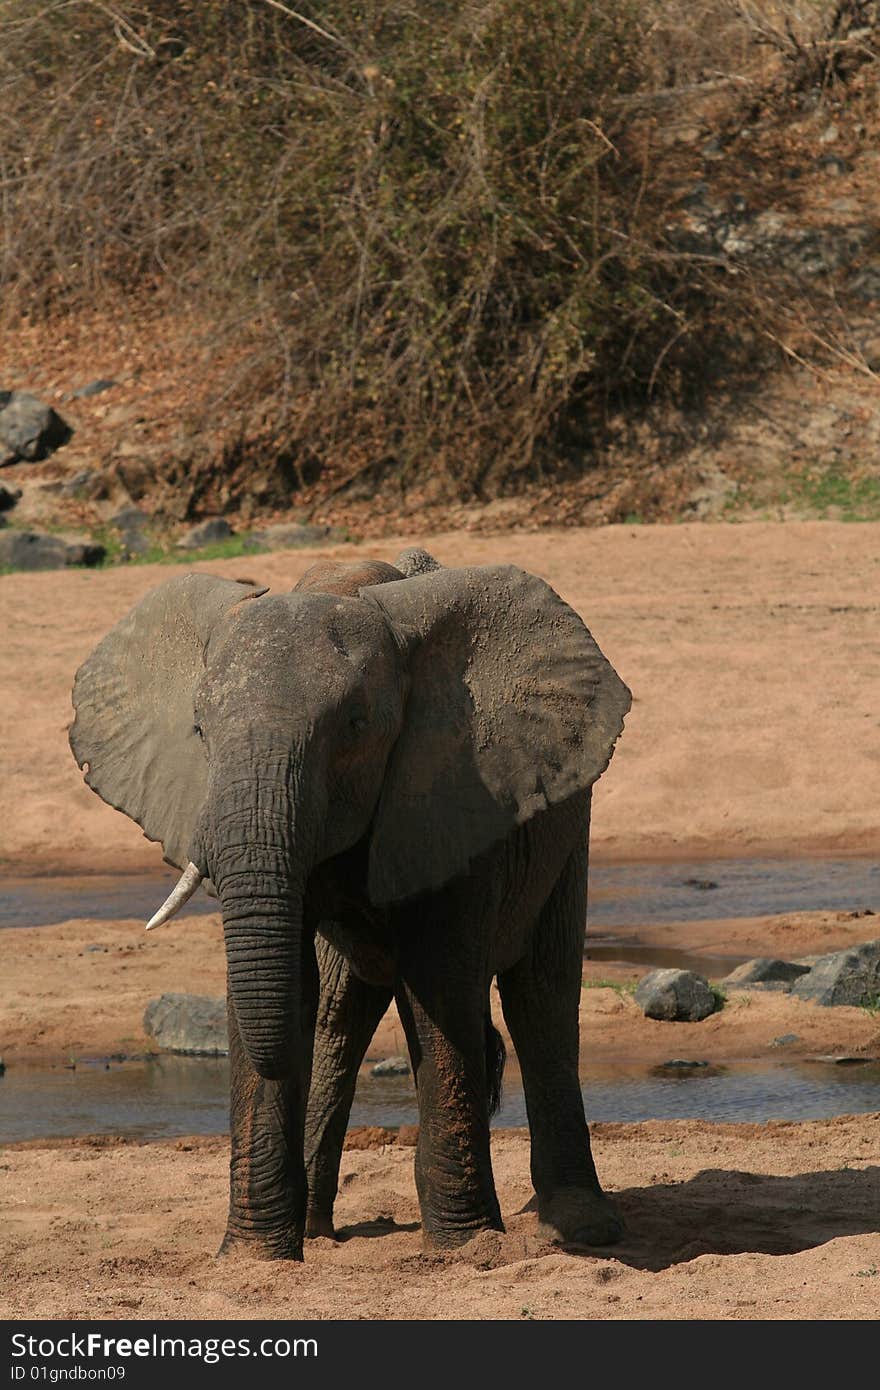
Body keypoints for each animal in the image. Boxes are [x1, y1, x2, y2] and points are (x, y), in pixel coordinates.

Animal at [68, 550, 631, 1262]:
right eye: (198, 729)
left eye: (355, 726)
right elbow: (291, 989)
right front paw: (254, 1258)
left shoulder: (452, 792)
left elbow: (439, 984)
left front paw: (465, 1250)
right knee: (338, 1016)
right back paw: (314, 1228)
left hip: (567, 831)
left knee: (542, 1000)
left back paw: (581, 1227)